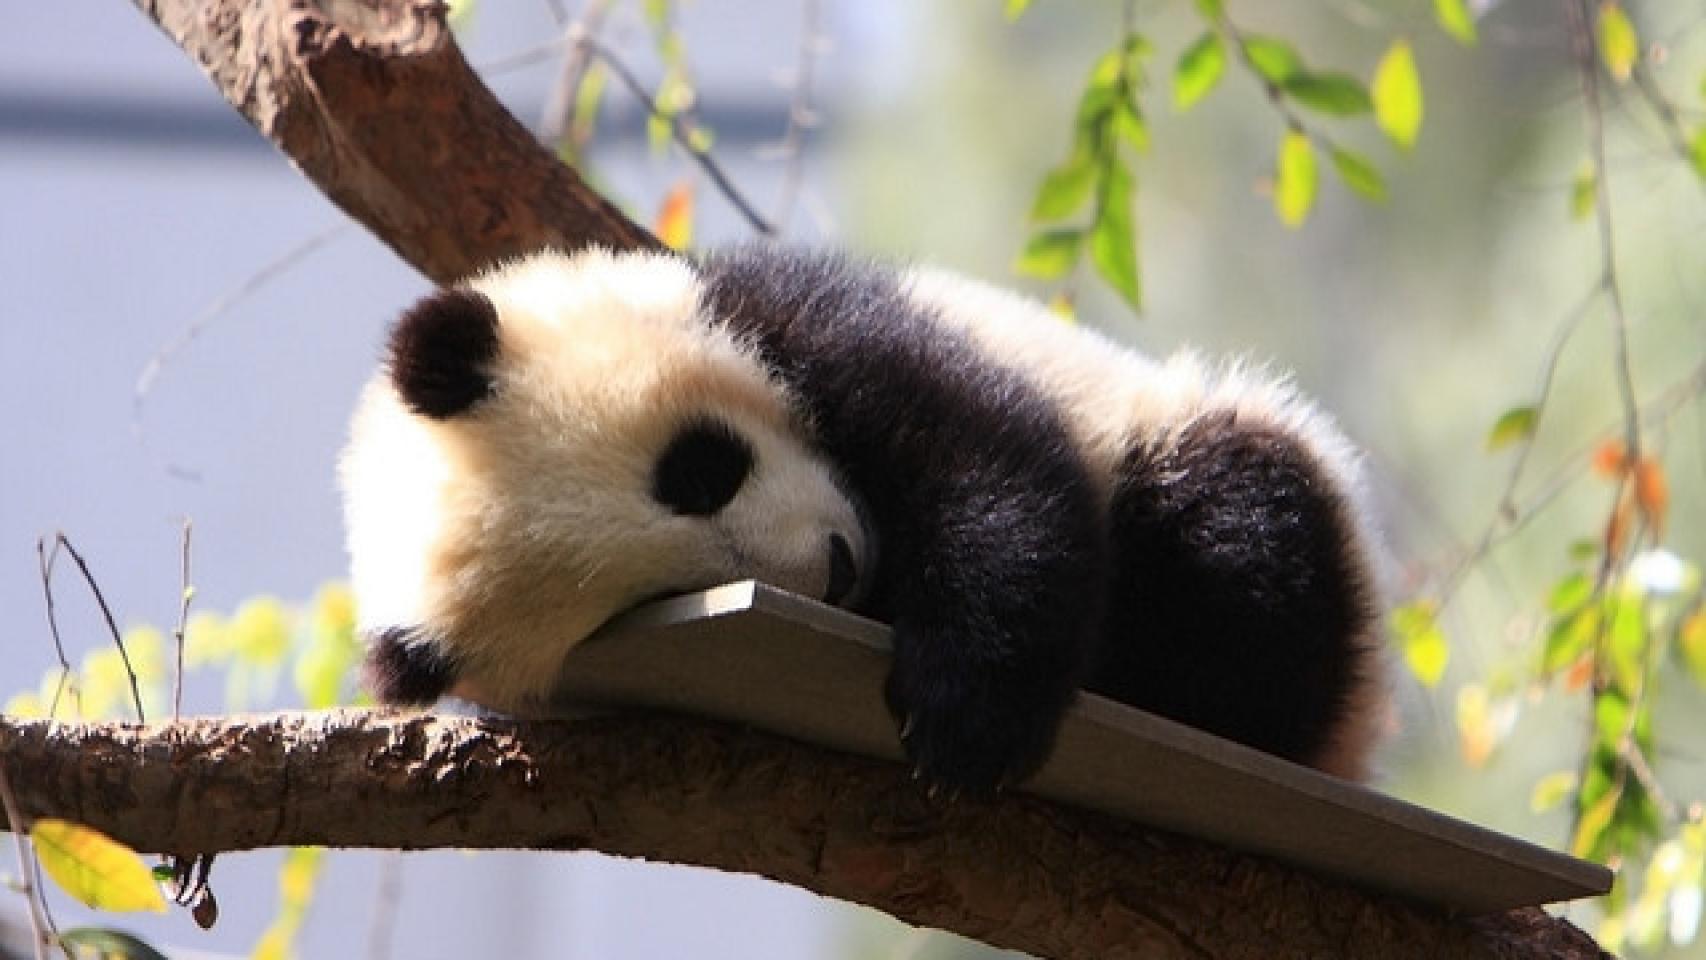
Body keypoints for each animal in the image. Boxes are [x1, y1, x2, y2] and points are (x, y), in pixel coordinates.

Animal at [341, 244, 1386, 792]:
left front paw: (967, 719)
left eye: (700, 470)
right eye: (663, 596)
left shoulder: (804, 316)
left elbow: (986, 461)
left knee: (1237, 537)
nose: (840, 568)